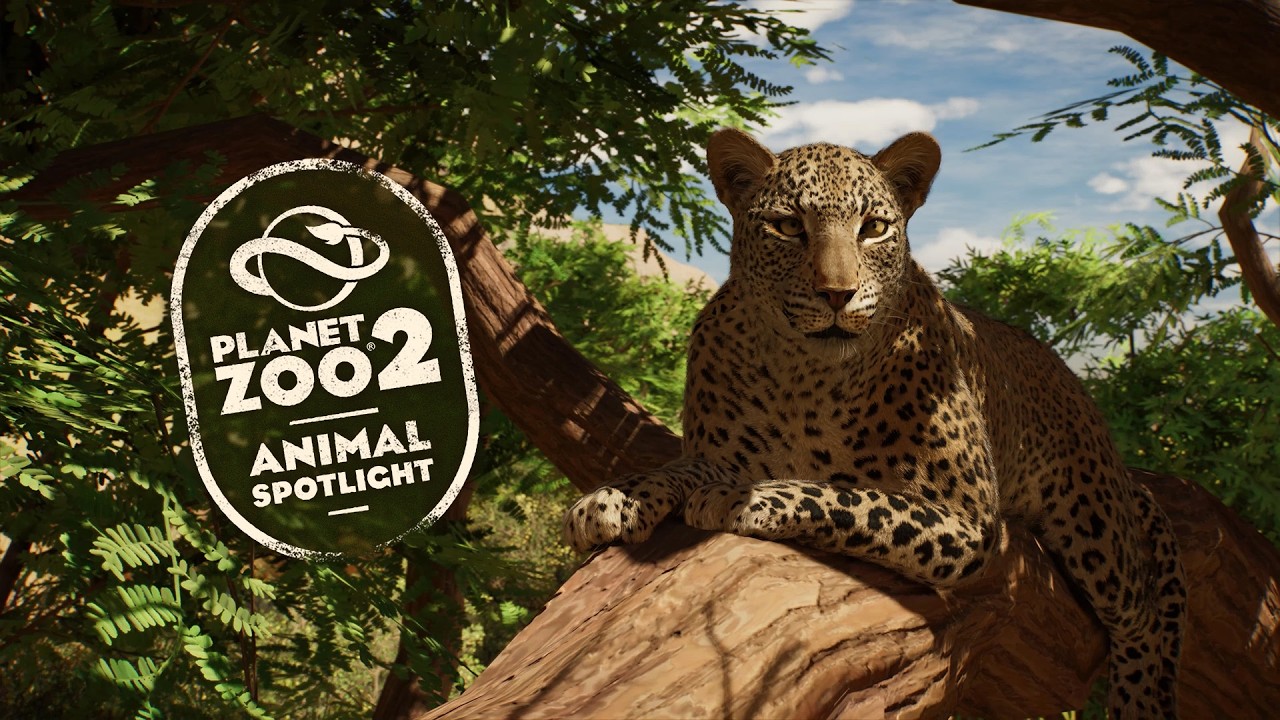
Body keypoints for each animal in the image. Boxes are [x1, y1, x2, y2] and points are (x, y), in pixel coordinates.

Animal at [561, 127, 1186, 719]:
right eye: (787, 226)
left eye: (875, 227)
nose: (836, 294)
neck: (804, 379)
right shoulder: (717, 451)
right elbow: (679, 469)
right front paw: (612, 499)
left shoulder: (968, 522)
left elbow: (846, 498)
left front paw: (741, 498)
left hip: (1096, 531)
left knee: (1145, 619)